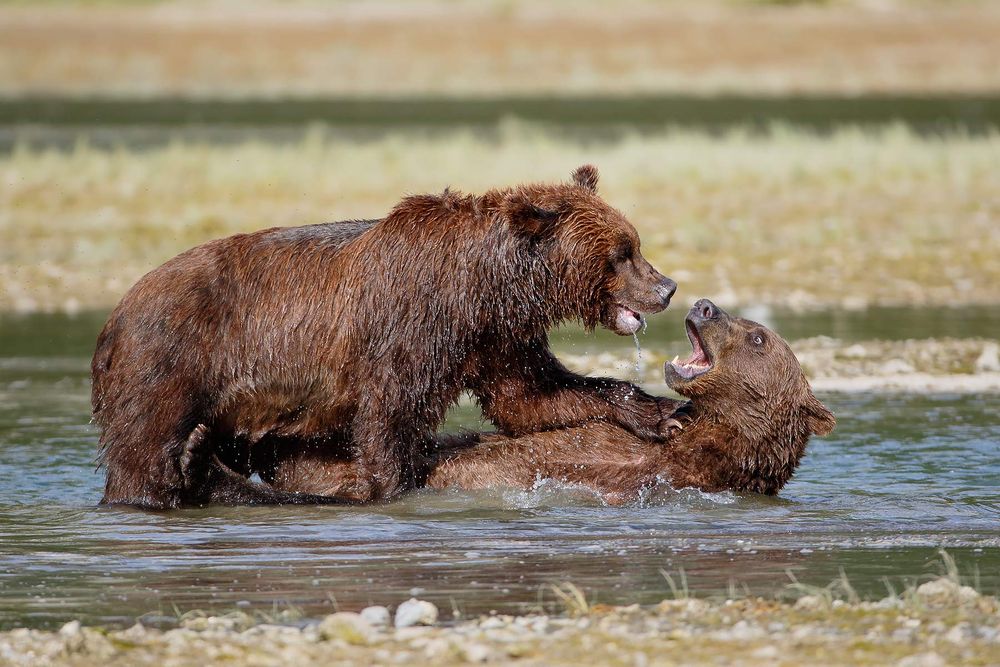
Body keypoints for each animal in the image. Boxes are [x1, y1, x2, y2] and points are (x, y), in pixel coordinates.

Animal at [91, 165, 680, 508]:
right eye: (622, 253)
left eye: (634, 243)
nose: (667, 287)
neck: (485, 283)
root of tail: (115, 315)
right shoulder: (412, 325)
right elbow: (388, 416)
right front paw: (382, 486)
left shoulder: (492, 336)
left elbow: (532, 397)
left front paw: (659, 411)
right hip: (170, 358)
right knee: (144, 456)